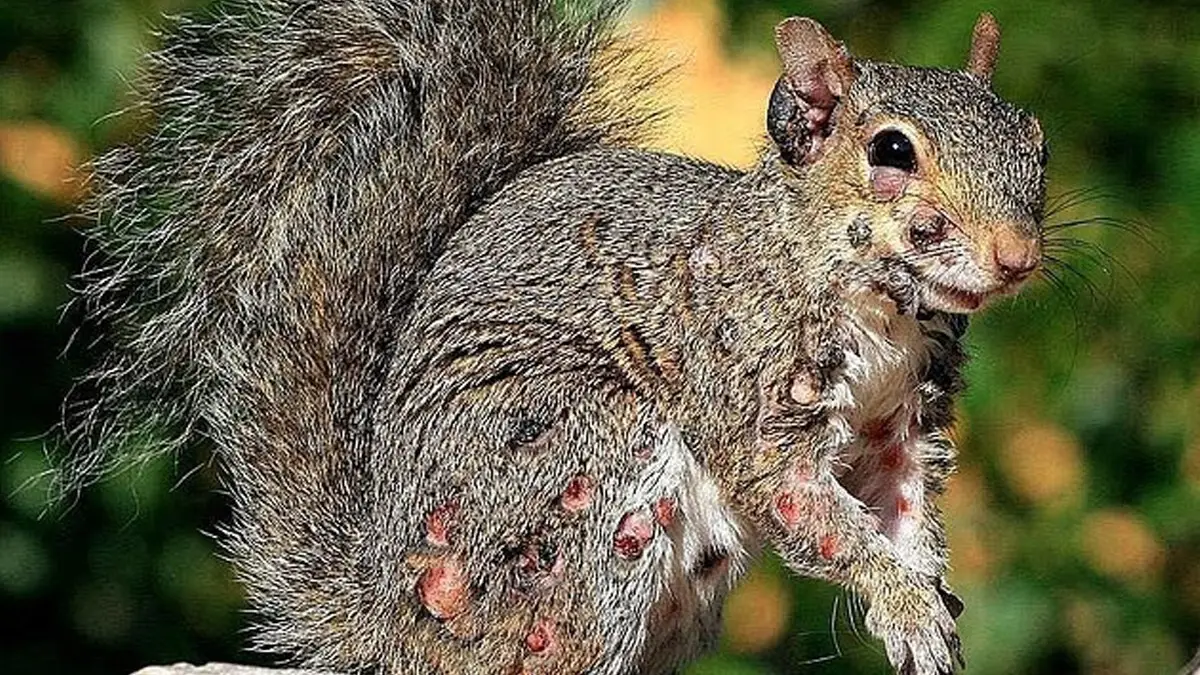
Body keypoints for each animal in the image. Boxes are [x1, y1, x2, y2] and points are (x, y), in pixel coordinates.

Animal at [60, 1, 1048, 674]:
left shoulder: (903, 424)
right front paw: (904, 601)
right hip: (582, 469)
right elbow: (811, 510)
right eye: (891, 152)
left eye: (1034, 142)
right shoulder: (745, 383)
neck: (884, 314)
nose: (1019, 255)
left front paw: (925, 604)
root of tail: (396, 620)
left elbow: (904, 512)